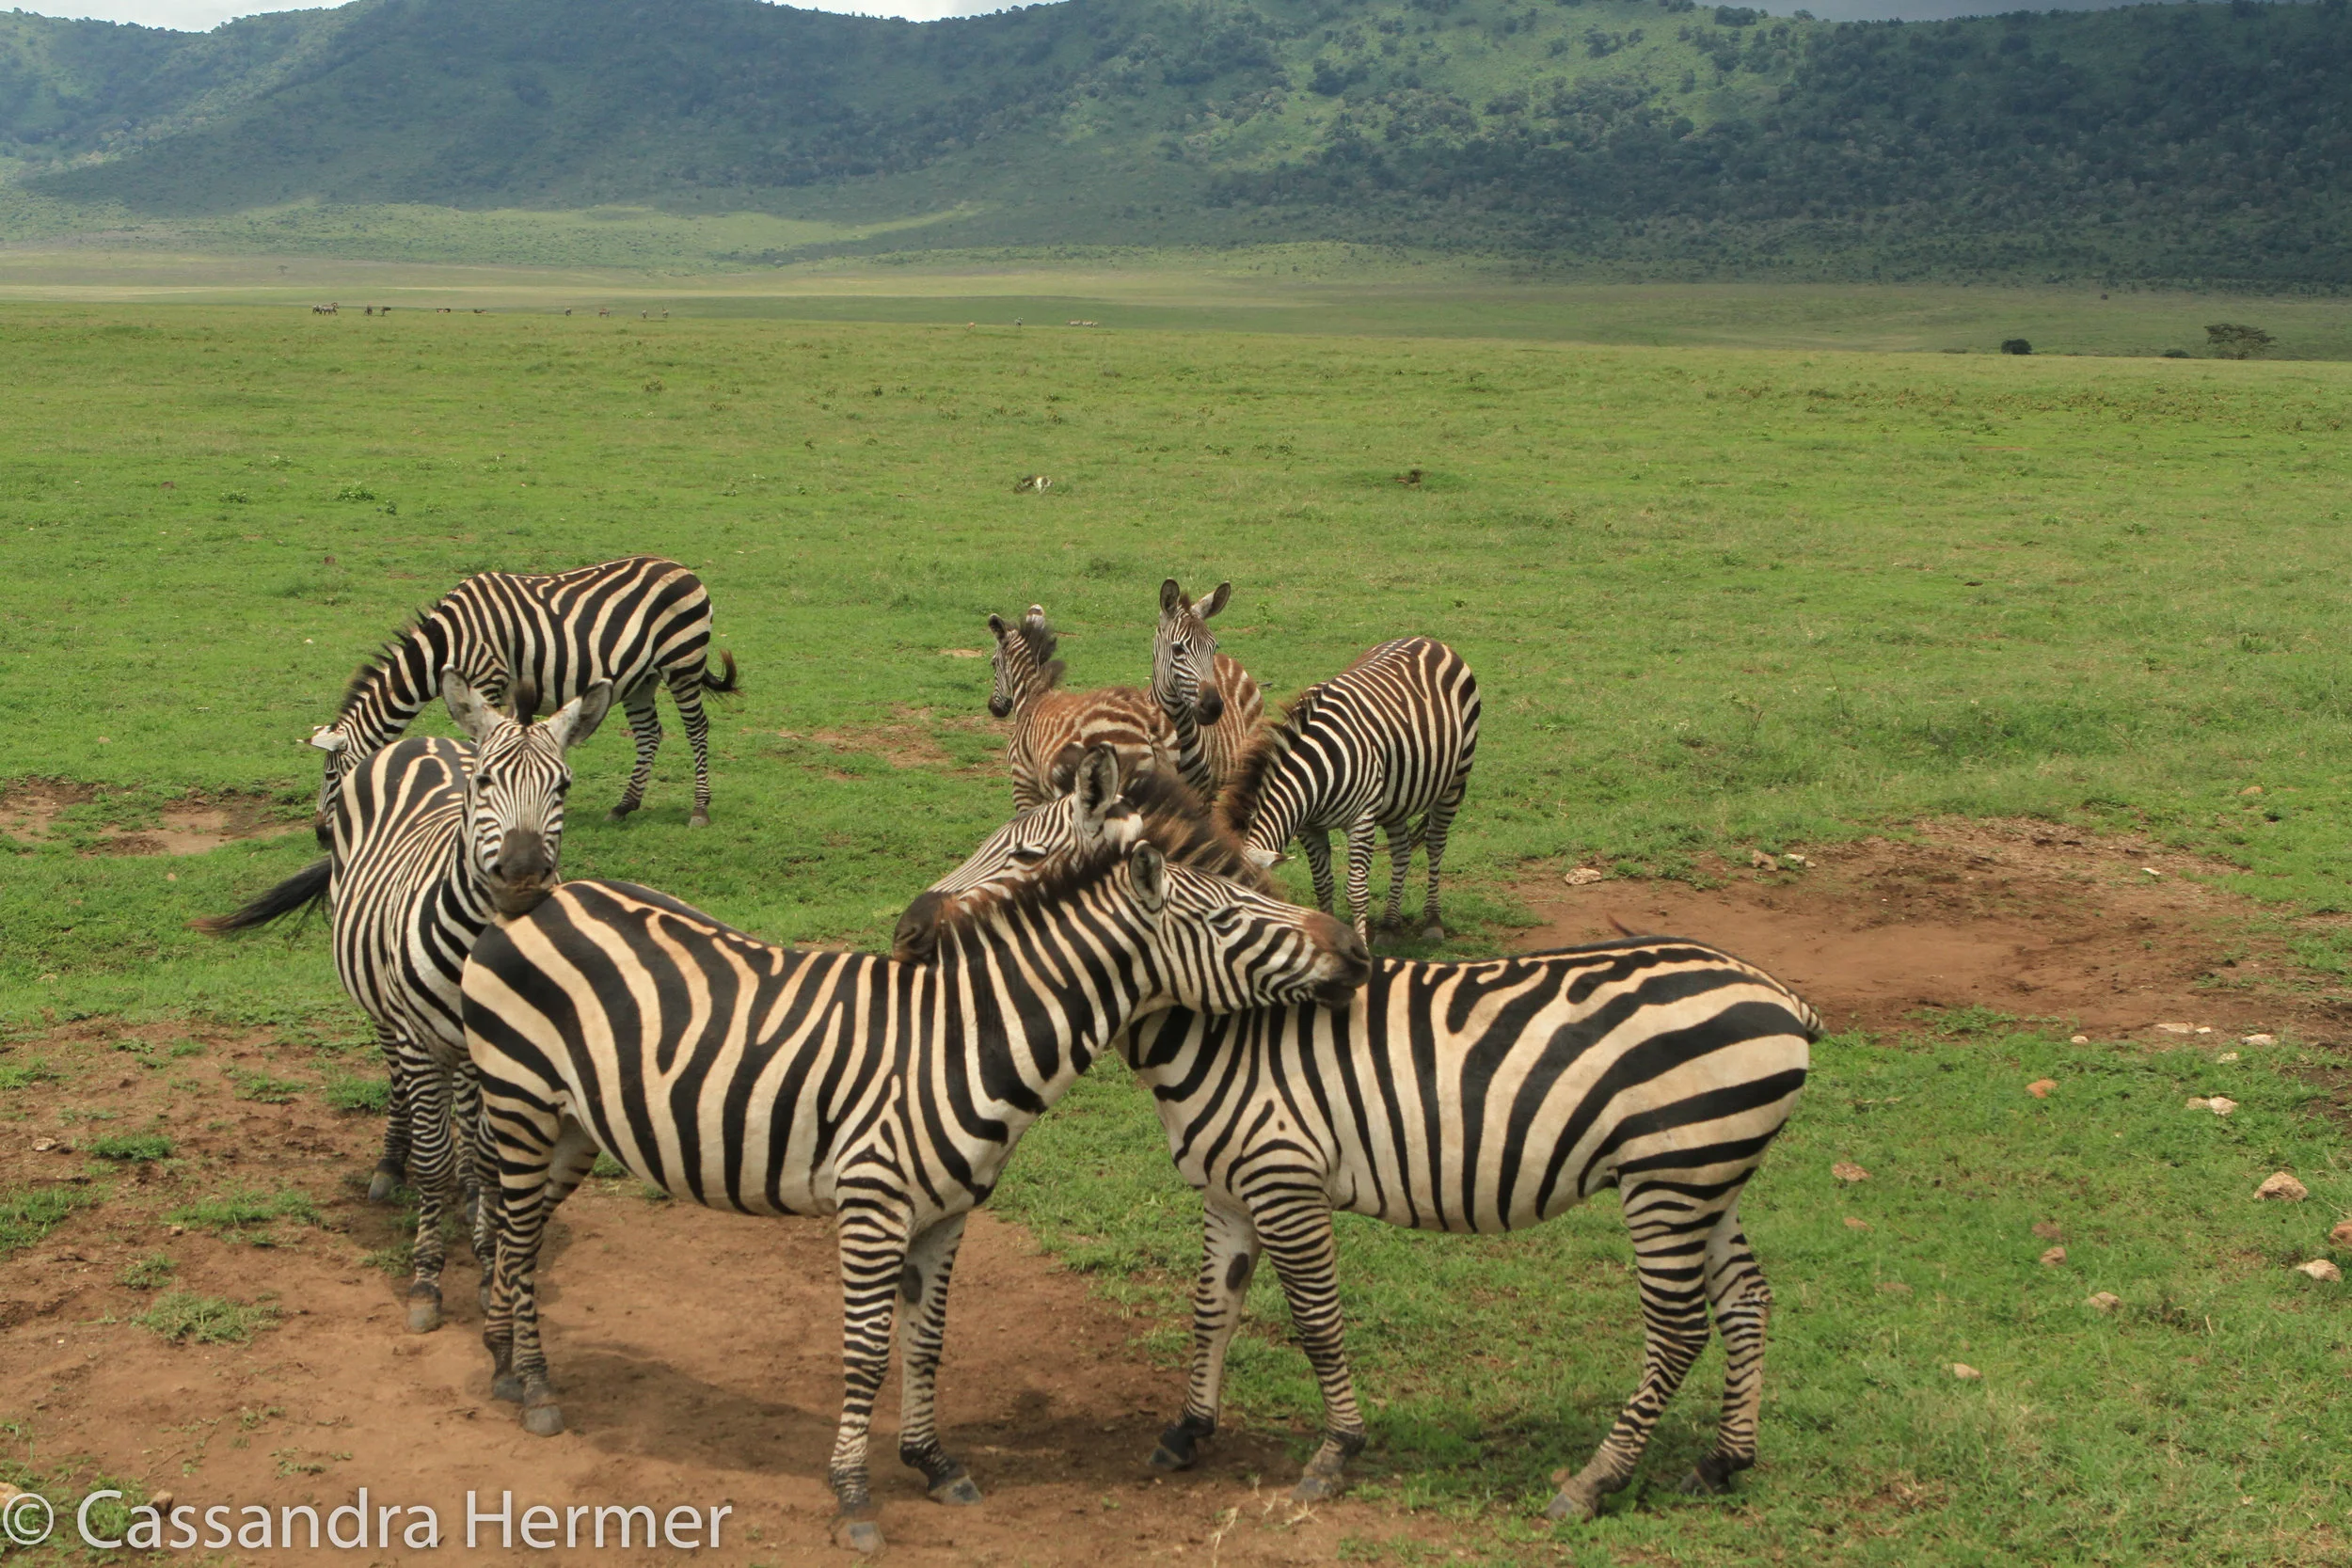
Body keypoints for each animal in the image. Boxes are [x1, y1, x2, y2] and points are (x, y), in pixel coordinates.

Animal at [200, 672, 613, 1334]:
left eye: (564, 786)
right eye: (485, 782)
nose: (523, 875)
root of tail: (427, 739)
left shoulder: (499, 1050)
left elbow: (487, 1161)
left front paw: (486, 1255)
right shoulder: (420, 1041)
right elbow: (435, 1158)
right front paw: (427, 1280)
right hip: (383, 1007)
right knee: (397, 1079)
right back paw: (391, 1165)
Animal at [305, 555, 736, 845]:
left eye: (330, 776)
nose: (321, 834)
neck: (445, 646)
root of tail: (684, 570)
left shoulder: (487, 681)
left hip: (682, 663)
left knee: (697, 729)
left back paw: (700, 808)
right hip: (641, 679)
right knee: (649, 734)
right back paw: (624, 806)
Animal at [458, 746, 1369, 1554]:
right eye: (1228, 918)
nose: (1355, 951)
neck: (965, 1039)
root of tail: (543, 899)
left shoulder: (946, 1213)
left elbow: (924, 1340)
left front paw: (932, 1461)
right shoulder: (873, 1205)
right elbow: (865, 1353)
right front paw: (854, 1495)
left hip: (572, 1128)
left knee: (519, 1234)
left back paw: (502, 1359)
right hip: (519, 1101)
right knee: (519, 1234)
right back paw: (535, 1385)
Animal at [903, 785, 1821, 1525]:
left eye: (1024, 853)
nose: (908, 927)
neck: (1229, 1025)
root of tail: (1781, 995)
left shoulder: (1284, 1178)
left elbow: (1314, 1317)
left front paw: (1335, 1452)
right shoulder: (1228, 1189)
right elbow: (1213, 1307)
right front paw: (1188, 1431)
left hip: (1669, 1177)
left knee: (1677, 1327)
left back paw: (1594, 1481)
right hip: (1706, 1177)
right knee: (1746, 1298)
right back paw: (1722, 1461)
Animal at [1218, 636, 1478, 942]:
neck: (1314, 774)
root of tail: (1428, 639)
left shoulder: (1361, 818)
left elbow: (1356, 891)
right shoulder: (1309, 828)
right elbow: (1322, 884)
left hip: (1455, 781)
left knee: (1435, 844)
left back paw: (1433, 921)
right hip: (1396, 798)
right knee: (1401, 851)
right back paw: (1390, 924)